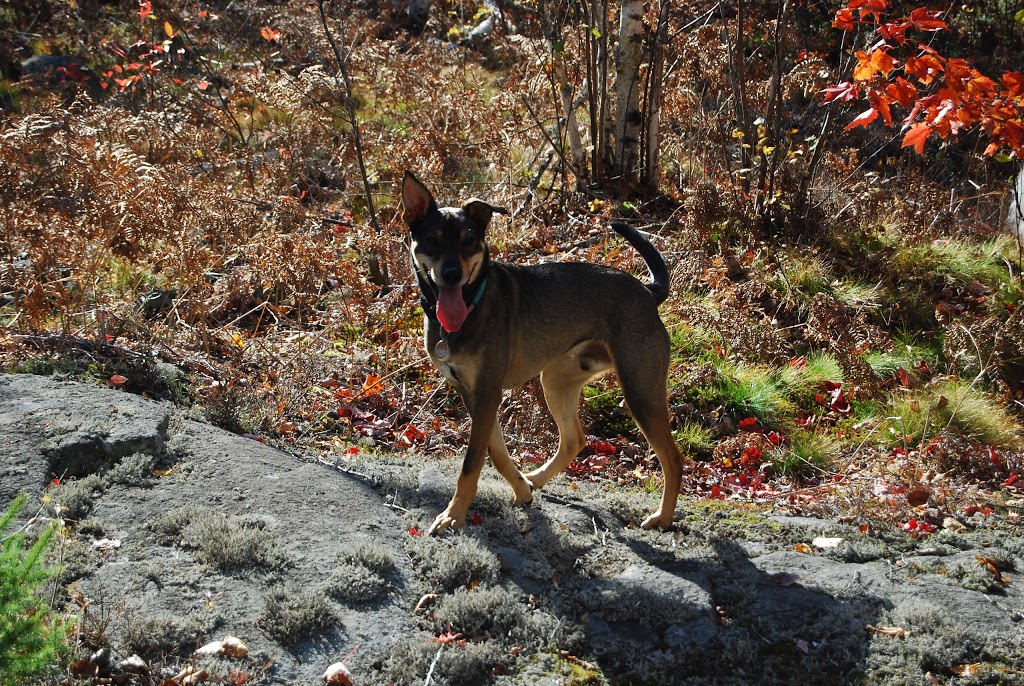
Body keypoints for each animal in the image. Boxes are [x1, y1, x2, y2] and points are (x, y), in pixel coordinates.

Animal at [403, 172, 684, 536]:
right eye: (432, 240)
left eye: (469, 239)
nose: (452, 275)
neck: (470, 305)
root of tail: (648, 292)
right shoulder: (473, 394)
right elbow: (496, 451)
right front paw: (522, 489)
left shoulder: (487, 392)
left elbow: (472, 462)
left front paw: (453, 515)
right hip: (556, 380)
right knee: (574, 439)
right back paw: (535, 478)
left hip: (641, 391)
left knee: (673, 458)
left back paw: (662, 518)